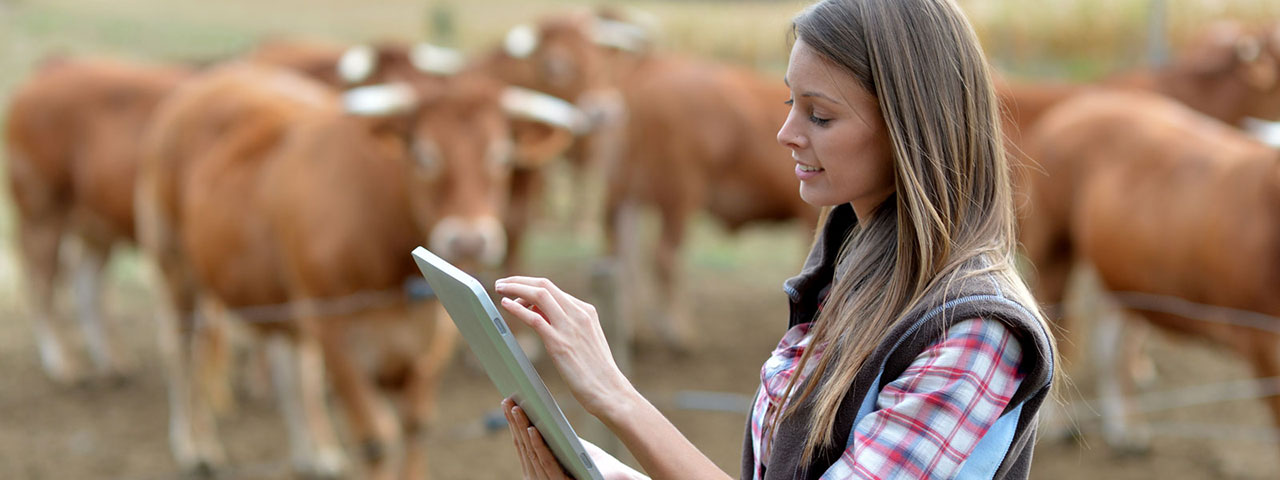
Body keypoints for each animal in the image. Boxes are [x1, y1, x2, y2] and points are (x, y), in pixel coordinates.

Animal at [4, 58, 192, 386]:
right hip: (42, 214)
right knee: (41, 286)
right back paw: (62, 362)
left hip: (94, 227)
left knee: (86, 286)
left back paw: (111, 361)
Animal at [1018, 88, 1280, 453]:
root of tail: (1087, 102)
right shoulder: (1261, 339)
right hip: (1051, 246)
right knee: (1057, 328)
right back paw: (1062, 426)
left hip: (1117, 265)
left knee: (1110, 342)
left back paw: (1125, 430)